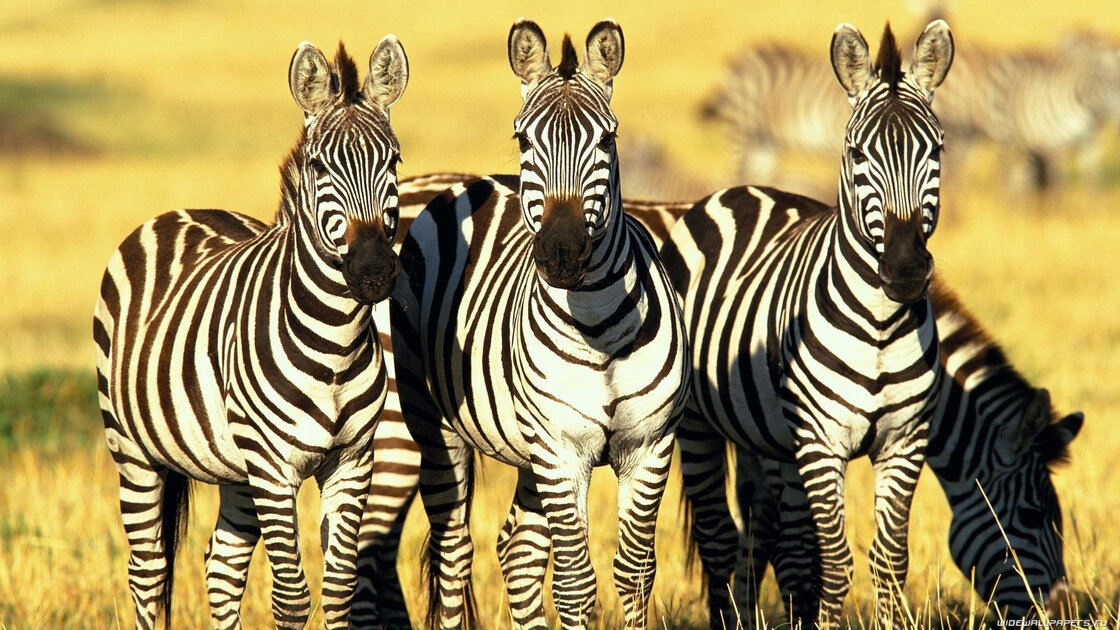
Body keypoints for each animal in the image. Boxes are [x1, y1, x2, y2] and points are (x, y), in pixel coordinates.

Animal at [93, 38, 409, 630]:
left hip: (234, 467)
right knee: (147, 573)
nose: (374, 271)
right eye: (318, 166)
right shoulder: (272, 467)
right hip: (133, 451)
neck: (335, 346)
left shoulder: (353, 461)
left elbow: (339, 591)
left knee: (221, 567)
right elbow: (292, 597)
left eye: (394, 161)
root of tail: (180, 211)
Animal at [389, 19, 689, 629]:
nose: (561, 253)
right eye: (525, 140)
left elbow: (635, 574)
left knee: (517, 550)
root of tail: (468, 183)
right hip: (436, 425)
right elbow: (575, 582)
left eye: (608, 141)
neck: (598, 328)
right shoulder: (560, 449)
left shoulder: (650, 445)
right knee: (454, 554)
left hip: (529, 447)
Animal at [659, 21, 954, 628]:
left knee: (762, 529)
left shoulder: (904, 440)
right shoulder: (821, 442)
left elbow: (890, 560)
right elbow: (835, 563)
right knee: (718, 537)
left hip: (763, 435)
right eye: (857, 152)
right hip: (697, 425)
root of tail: (737, 189)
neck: (881, 327)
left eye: (935, 148)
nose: (905, 269)